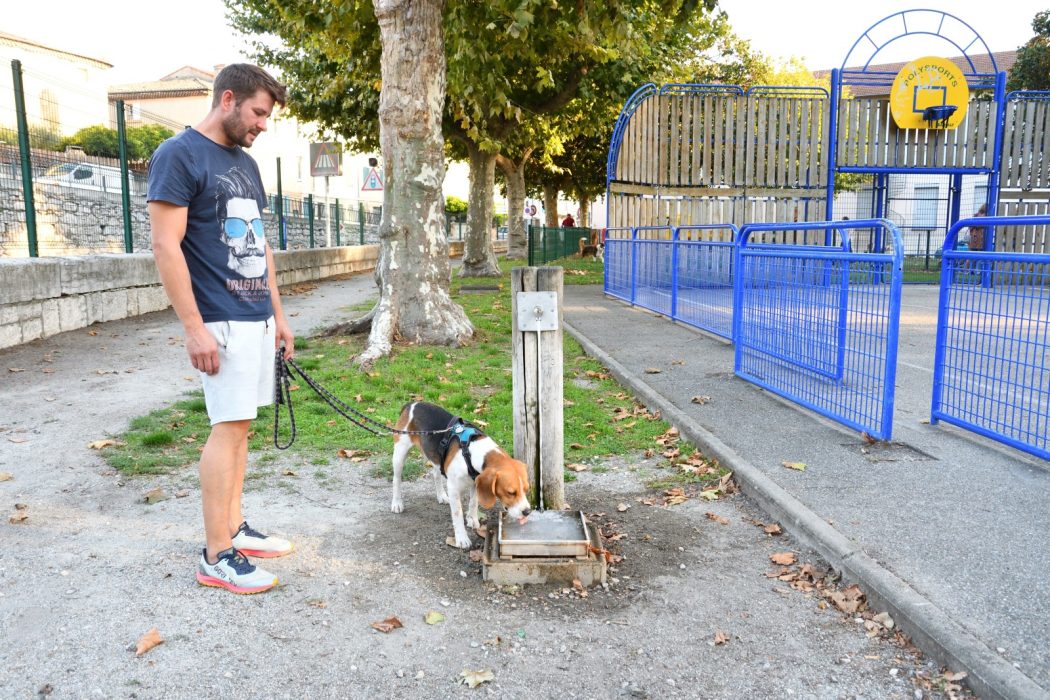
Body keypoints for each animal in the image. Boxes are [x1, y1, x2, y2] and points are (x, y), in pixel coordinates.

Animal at [388, 402, 529, 549]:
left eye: (526, 489)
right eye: (511, 492)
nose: (527, 512)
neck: (471, 452)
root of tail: (411, 404)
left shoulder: (476, 481)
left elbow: (473, 503)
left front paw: (472, 519)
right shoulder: (454, 489)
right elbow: (458, 515)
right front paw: (462, 538)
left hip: (436, 459)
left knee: (436, 474)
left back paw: (441, 496)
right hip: (400, 453)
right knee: (396, 480)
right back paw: (397, 503)